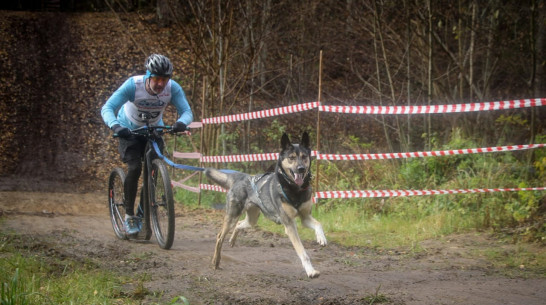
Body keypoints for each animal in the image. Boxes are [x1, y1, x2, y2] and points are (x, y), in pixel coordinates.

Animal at [203, 132, 324, 276]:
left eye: (304, 157)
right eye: (291, 158)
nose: (301, 169)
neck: (294, 190)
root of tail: (242, 177)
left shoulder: (305, 218)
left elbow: (319, 224)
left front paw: (321, 238)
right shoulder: (289, 225)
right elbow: (302, 251)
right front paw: (310, 271)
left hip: (252, 220)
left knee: (239, 225)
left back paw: (232, 240)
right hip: (232, 217)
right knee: (219, 237)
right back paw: (216, 261)